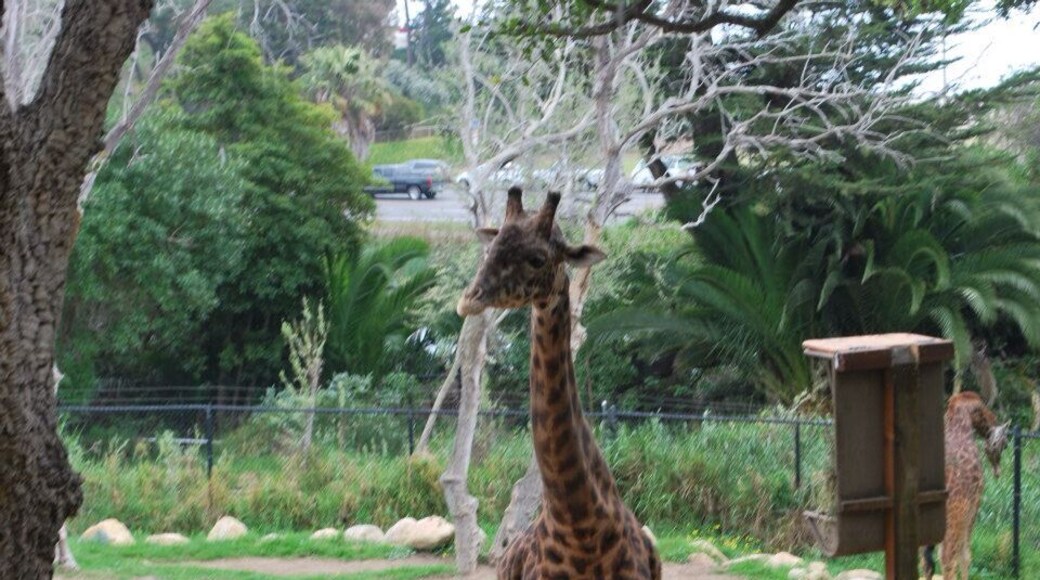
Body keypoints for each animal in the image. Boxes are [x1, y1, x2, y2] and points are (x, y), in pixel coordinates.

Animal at [922, 391, 1009, 580]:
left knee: (927, 562)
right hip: (954, 520)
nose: (993, 420)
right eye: (984, 410)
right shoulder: (973, 506)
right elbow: (966, 556)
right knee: (948, 560)